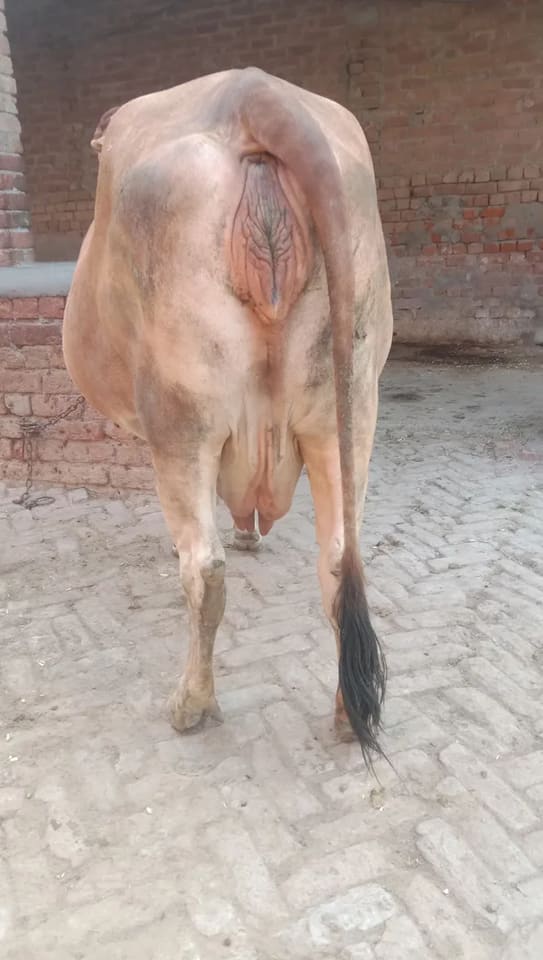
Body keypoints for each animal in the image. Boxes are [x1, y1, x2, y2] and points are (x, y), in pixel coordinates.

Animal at [63, 68, 393, 767]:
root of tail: (254, 93)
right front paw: (250, 530)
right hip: (349, 403)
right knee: (340, 558)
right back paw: (346, 713)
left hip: (180, 413)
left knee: (204, 569)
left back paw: (190, 704)